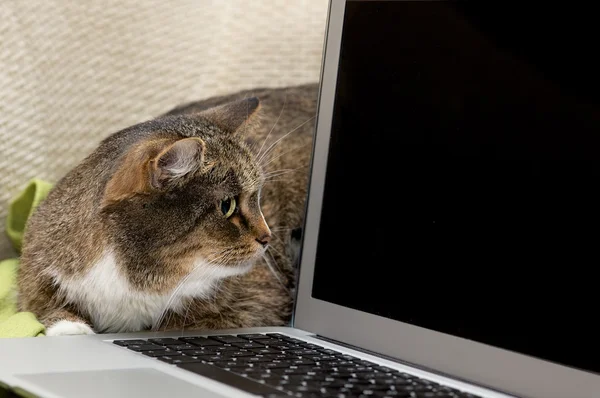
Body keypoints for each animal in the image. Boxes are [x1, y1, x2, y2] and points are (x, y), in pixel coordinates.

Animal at [16, 83, 316, 336]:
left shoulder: (260, 301)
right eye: (226, 205)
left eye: (258, 197)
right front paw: (71, 328)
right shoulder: (36, 276)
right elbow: (40, 308)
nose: (268, 238)